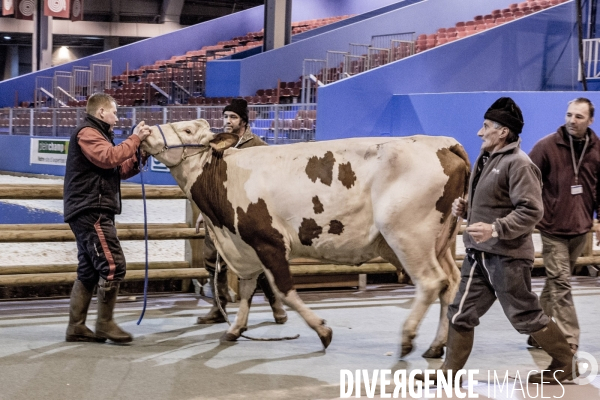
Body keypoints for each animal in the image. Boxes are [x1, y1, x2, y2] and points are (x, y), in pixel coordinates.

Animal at [141, 119, 468, 360]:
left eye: (186, 130)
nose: (144, 130)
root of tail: (441, 142)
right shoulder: (246, 246)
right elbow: (247, 290)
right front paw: (235, 329)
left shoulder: (269, 243)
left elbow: (285, 291)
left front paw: (323, 331)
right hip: (437, 241)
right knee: (451, 283)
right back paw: (436, 346)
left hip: (407, 235)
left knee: (432, 282)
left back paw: (408, 338)